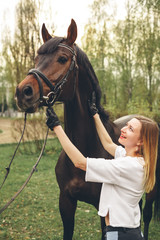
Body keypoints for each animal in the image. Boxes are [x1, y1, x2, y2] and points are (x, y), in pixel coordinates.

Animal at [15, 19, 120, 240]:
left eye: (62, 59)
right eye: (36, 58)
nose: (22, 92)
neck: (86, 150)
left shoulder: (104, 210)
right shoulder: (66, 203)